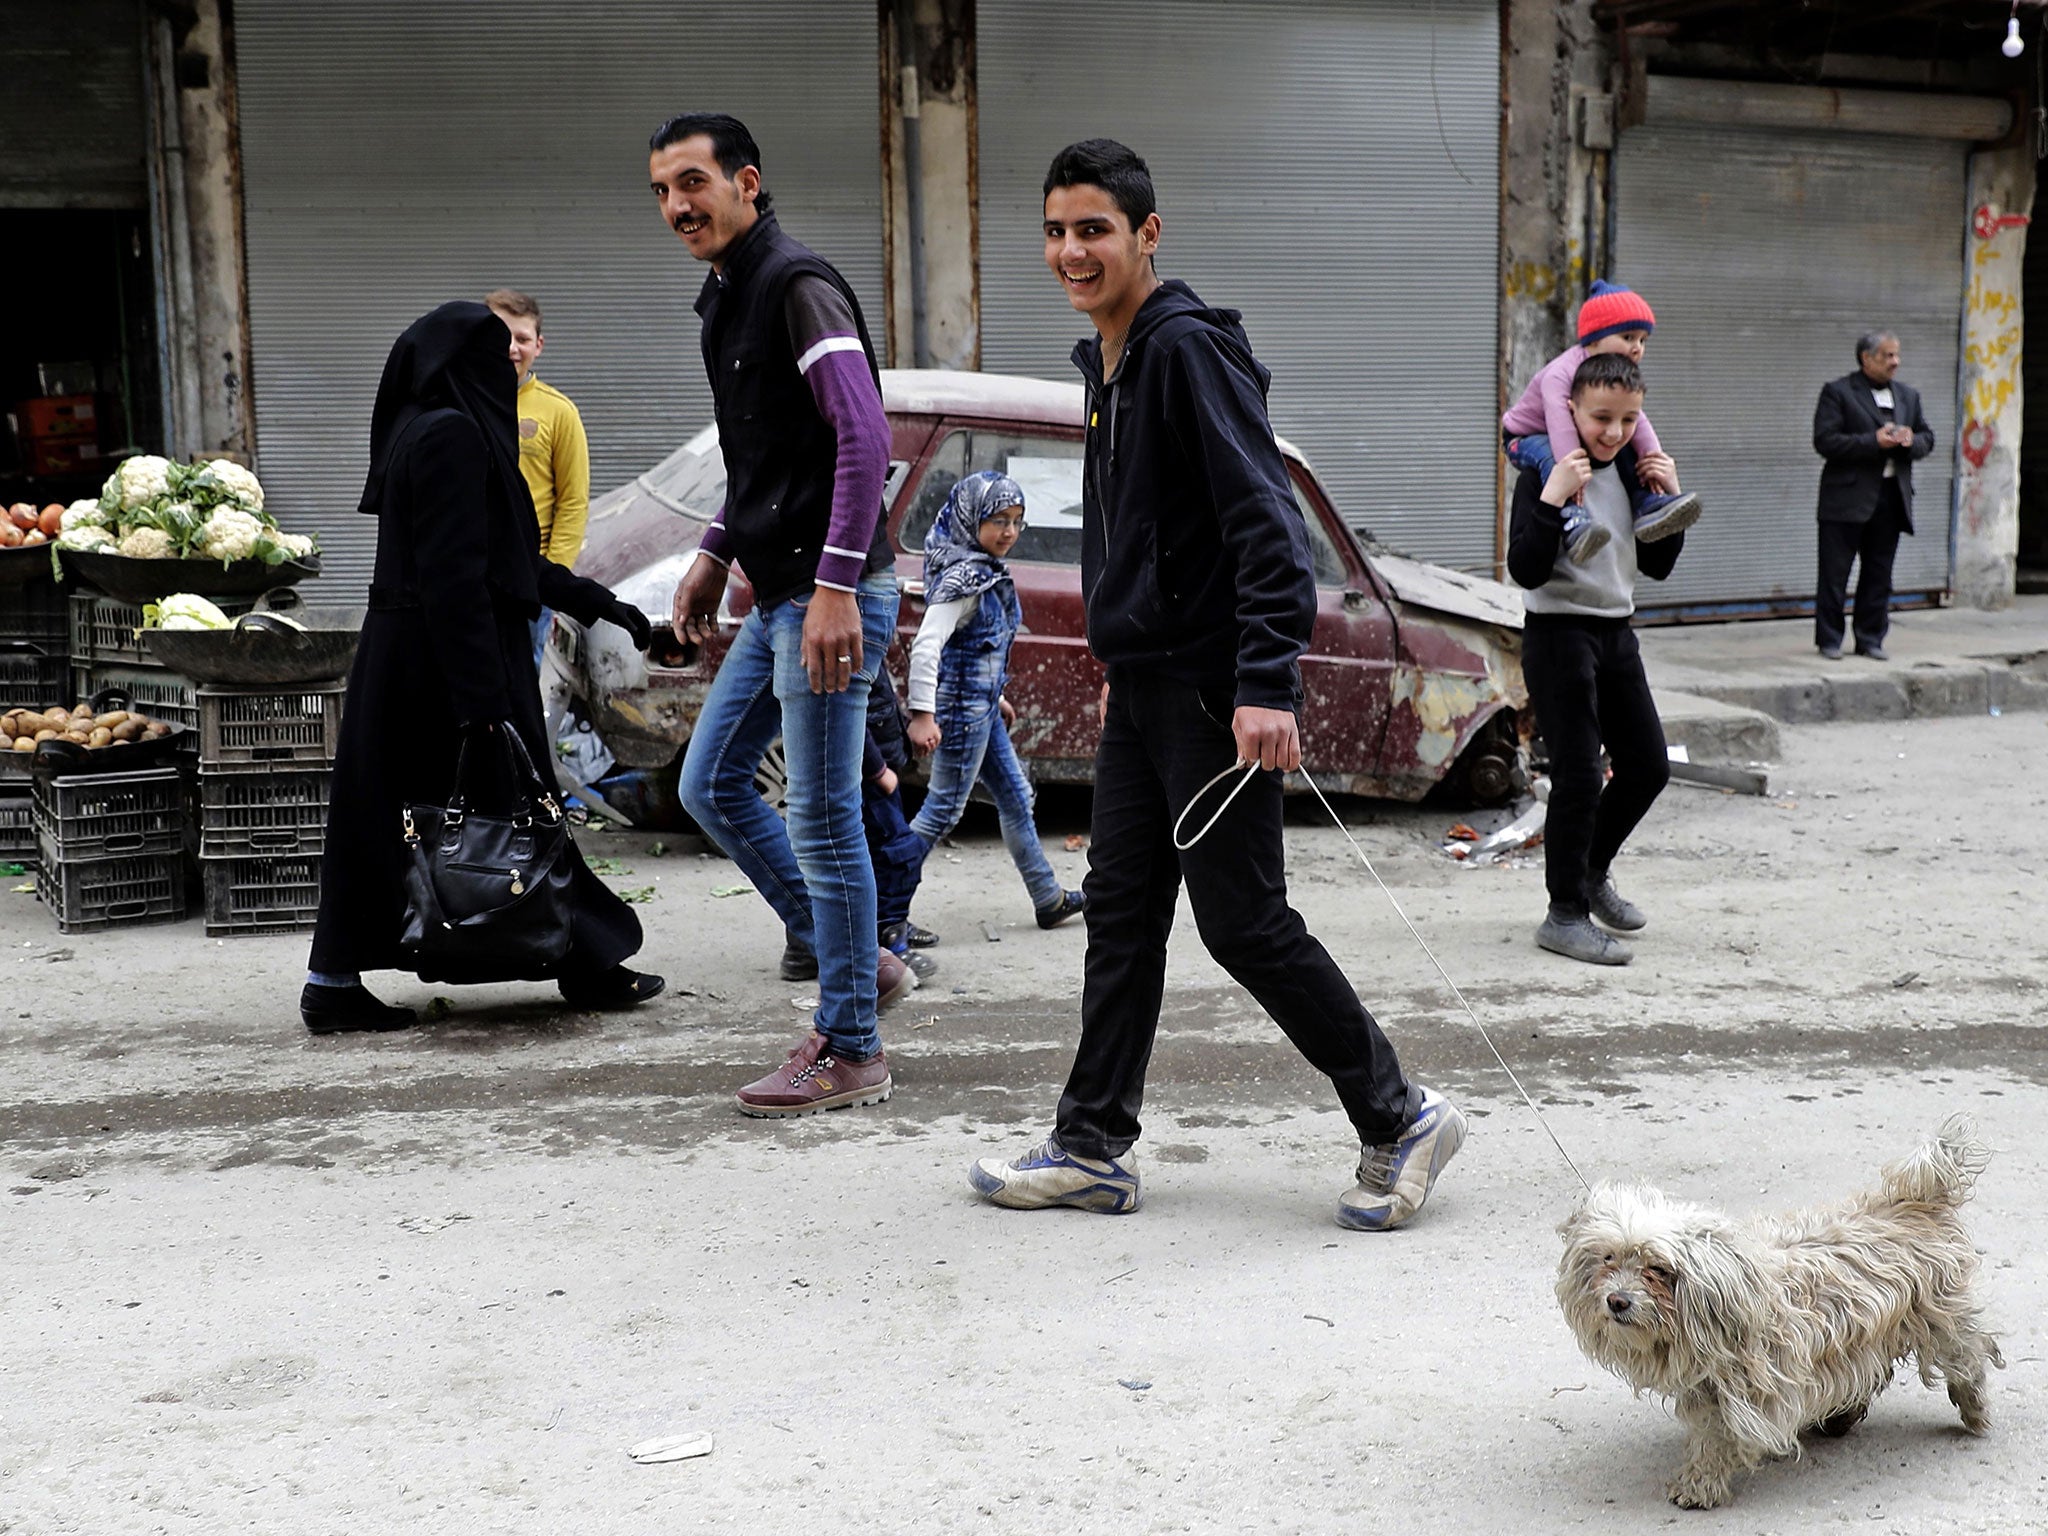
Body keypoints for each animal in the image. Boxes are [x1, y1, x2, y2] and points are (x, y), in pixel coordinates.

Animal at [1548, 1122, 1998, 1507]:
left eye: (1657, 1269)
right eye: (1609, 1258)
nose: (1617, 1300)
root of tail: (1918, 1201)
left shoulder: (1746, 1389)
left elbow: (1718, 1438)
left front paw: (1700, 1484)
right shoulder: (1710, 1385)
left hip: (1943, 1320)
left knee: (1968, 1359)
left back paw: (1974, 1409)